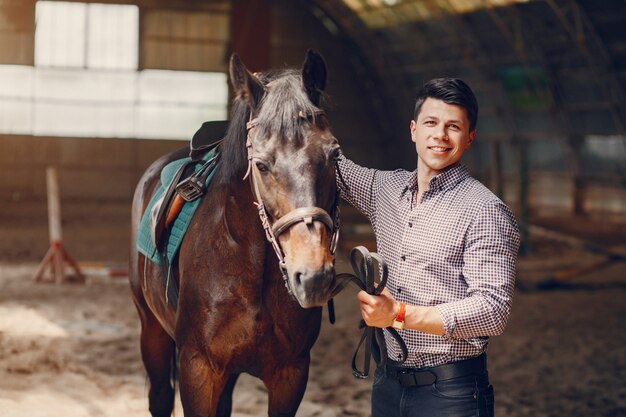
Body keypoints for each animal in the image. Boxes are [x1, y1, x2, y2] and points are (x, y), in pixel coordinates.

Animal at [128, 49, 342, 416]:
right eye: (262, 164)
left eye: (333, 155)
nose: (313, 276)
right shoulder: (198, 368)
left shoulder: (290, 374)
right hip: (152, 331)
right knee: (159, 396)